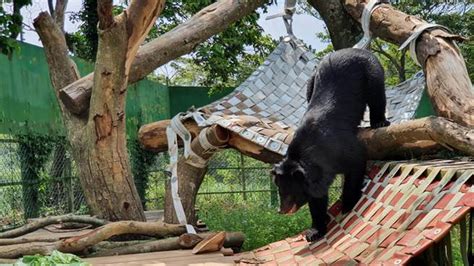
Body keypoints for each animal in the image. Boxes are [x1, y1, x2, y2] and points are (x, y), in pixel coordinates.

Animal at [272, 47, 390, 241]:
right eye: (280, 191)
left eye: (290, 192)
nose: (282, 210)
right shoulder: (317, 176)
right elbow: (317, 200)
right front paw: (314, 231)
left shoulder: (341, 149)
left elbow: (356, 164)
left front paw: (348, 206)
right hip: (311, 81)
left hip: (371, 68)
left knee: (377, 93)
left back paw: (379, 122)